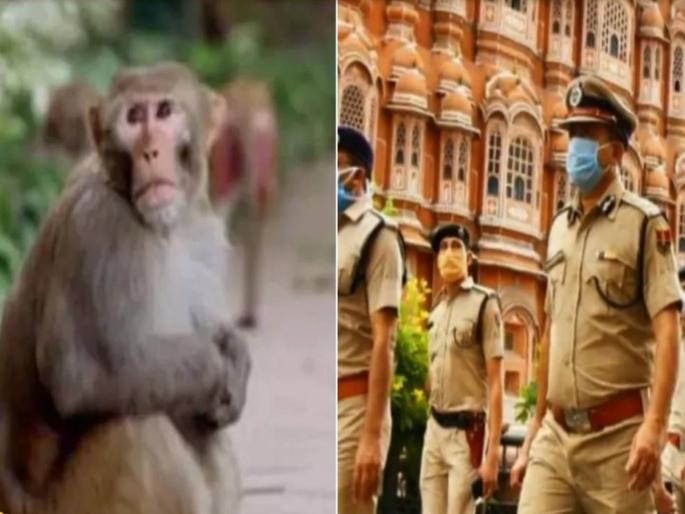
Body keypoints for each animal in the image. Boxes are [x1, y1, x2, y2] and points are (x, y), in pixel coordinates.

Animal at [0, 62, 250, 514]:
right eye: (133, 118)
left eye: (165, 111)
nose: (150, 152)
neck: (164, 228)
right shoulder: (100, 228)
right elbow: (84, 374)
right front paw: (217, 366)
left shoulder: (202, 233)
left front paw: (235, 355)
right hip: (74, 501)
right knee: (136, 426)